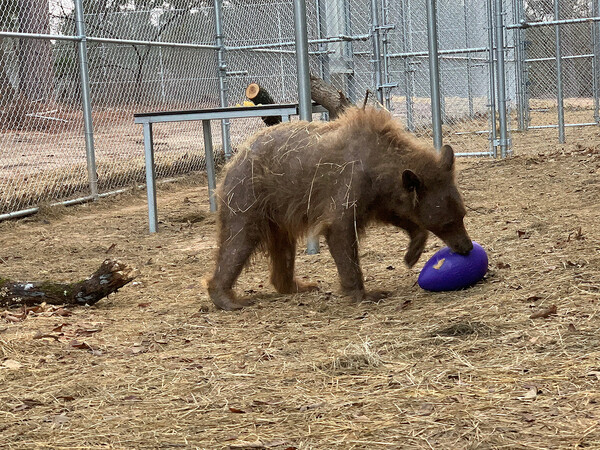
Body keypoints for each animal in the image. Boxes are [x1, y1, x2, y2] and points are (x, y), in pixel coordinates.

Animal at [206, 106, 474, 310]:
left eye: (462, 214)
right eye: (448, 222)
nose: (467, 247)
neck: (380, 167)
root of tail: (234, 158)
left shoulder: (378, 197)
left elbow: (397, 215)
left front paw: (412, 253)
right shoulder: (348, 184)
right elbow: (340, 232)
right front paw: (366, 293)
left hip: (277, 210)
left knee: (283, 247)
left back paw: (299, 285)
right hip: (248, 195)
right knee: (239, 240)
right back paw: (227, 298)